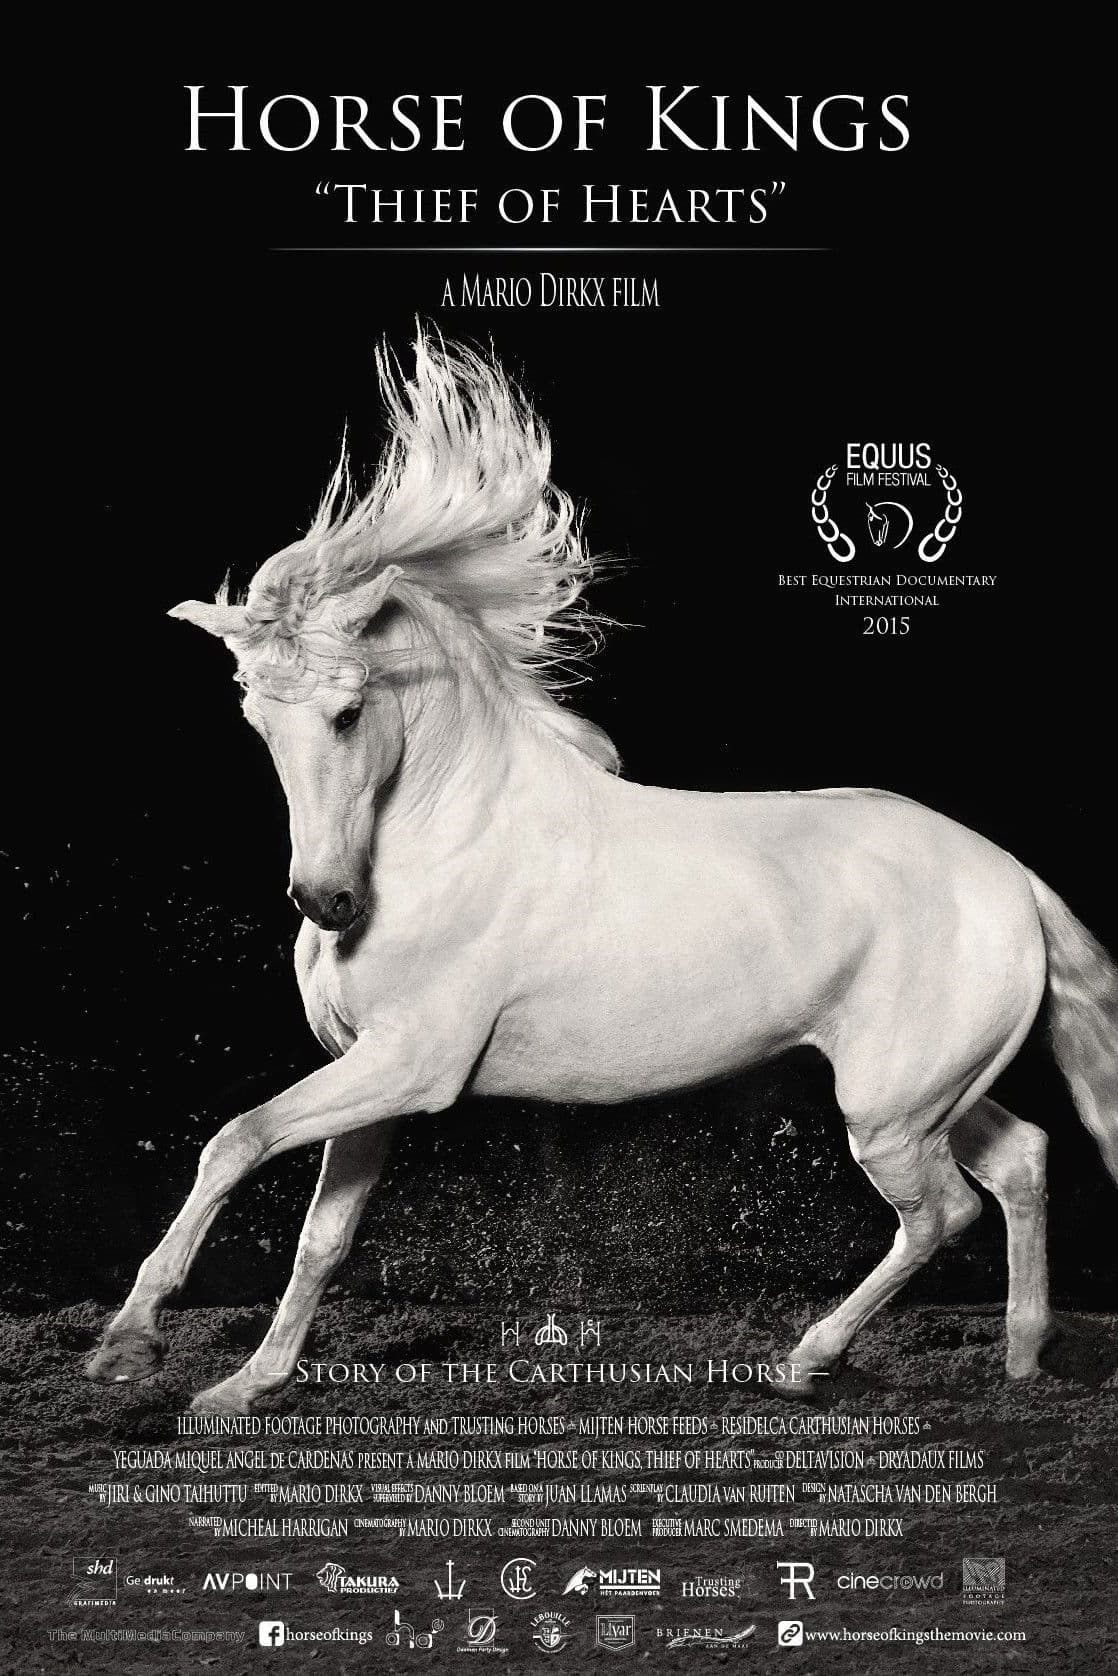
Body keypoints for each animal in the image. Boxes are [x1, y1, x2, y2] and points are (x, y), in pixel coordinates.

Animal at [86, 334, 1118, 1412]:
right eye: (254, 714)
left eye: (347, 709)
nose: (328, 901)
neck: (449, 837)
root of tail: (1011, 877)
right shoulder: (363, 1072)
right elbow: (320, 1239)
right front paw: (246, 1387)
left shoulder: (409, 1065)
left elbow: (236, 1138)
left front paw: (128, 1341)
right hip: (925, 1094)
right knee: (1020, 1158)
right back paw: (1021, 1357)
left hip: (889, 1110)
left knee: (941, 1213)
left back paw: (808, 1359)